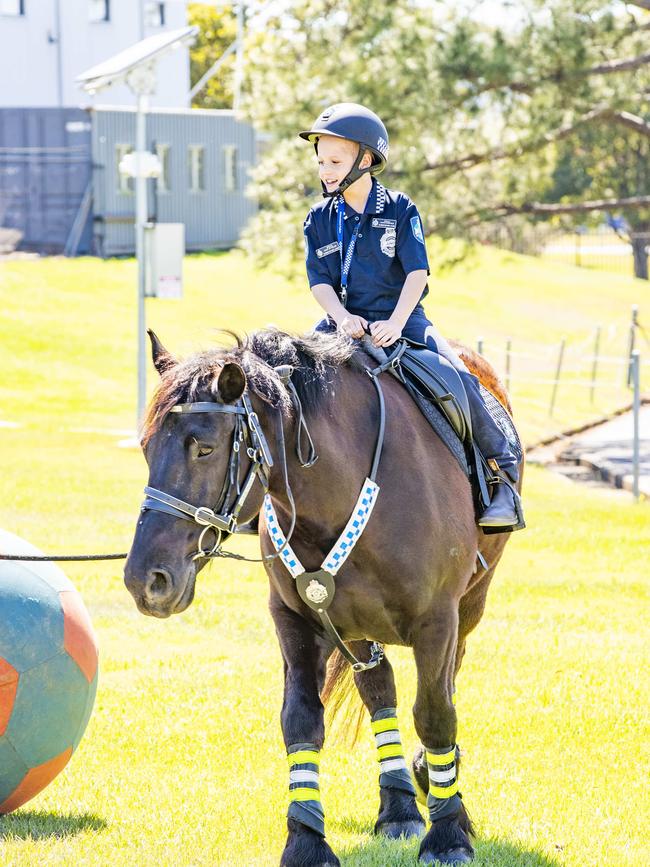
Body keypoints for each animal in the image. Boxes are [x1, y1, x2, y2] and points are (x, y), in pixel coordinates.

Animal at [124, 328, 524, 867]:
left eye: (203, 448)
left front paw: (448, 836)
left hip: (468, 607)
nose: (145, 580)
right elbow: (300, 721)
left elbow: (436, 714)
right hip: (354, 621)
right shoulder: (294, 618)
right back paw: (399, 808)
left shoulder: (437, 620)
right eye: (146, 448)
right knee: (379, 689)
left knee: (442, 687)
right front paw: (306, 841)